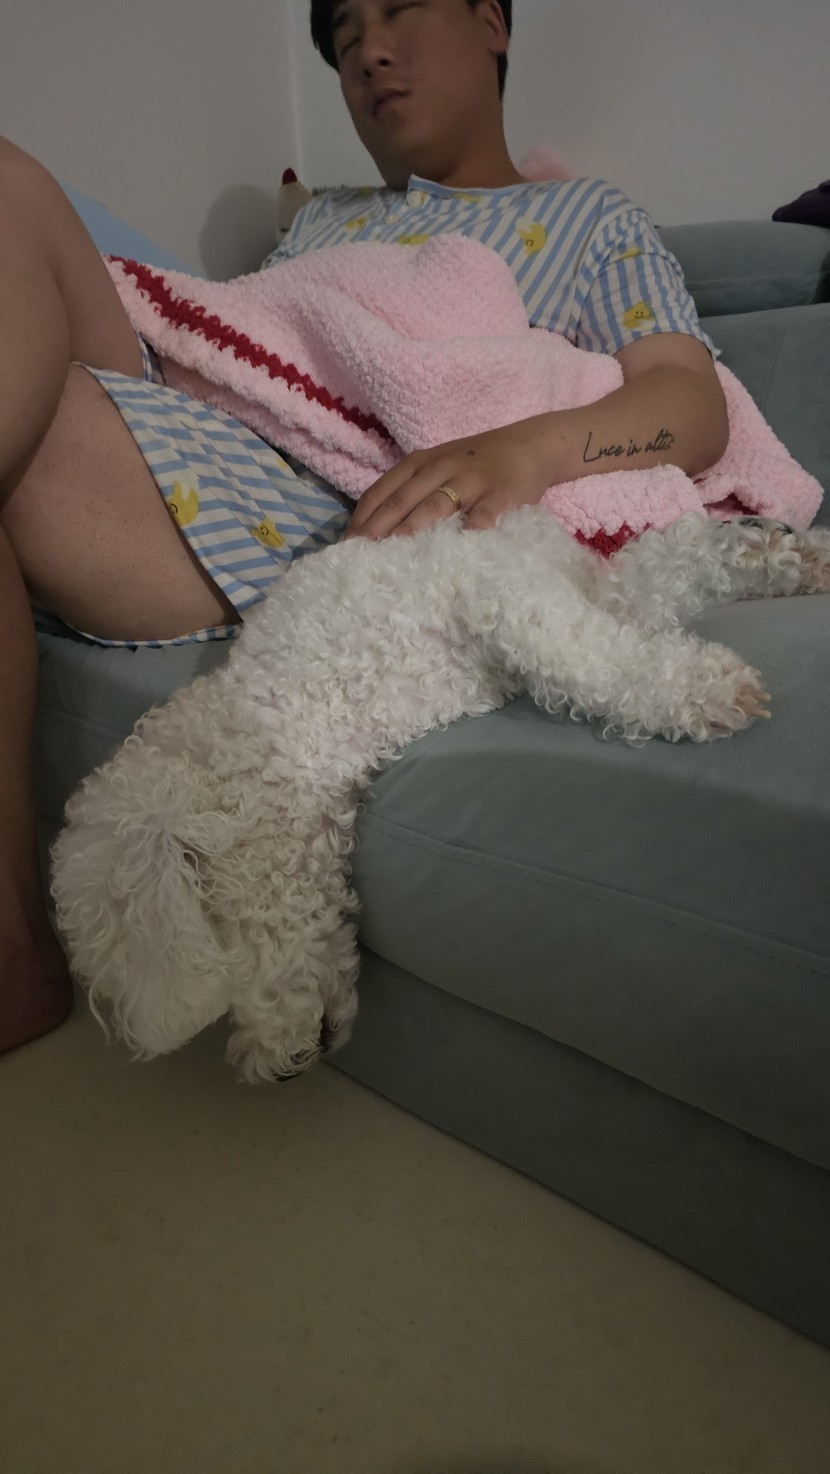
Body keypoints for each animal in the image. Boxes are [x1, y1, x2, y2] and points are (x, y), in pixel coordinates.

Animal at [49, 506, 830, 1082]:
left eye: (220, 932)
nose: (283, 1070)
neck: (272, 718)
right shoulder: (531, 599)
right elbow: (615, 621)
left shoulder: (495, 593)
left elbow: (589, 658)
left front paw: (699, 689)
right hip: (603, 584)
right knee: (669, 561)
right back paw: (786, 555)